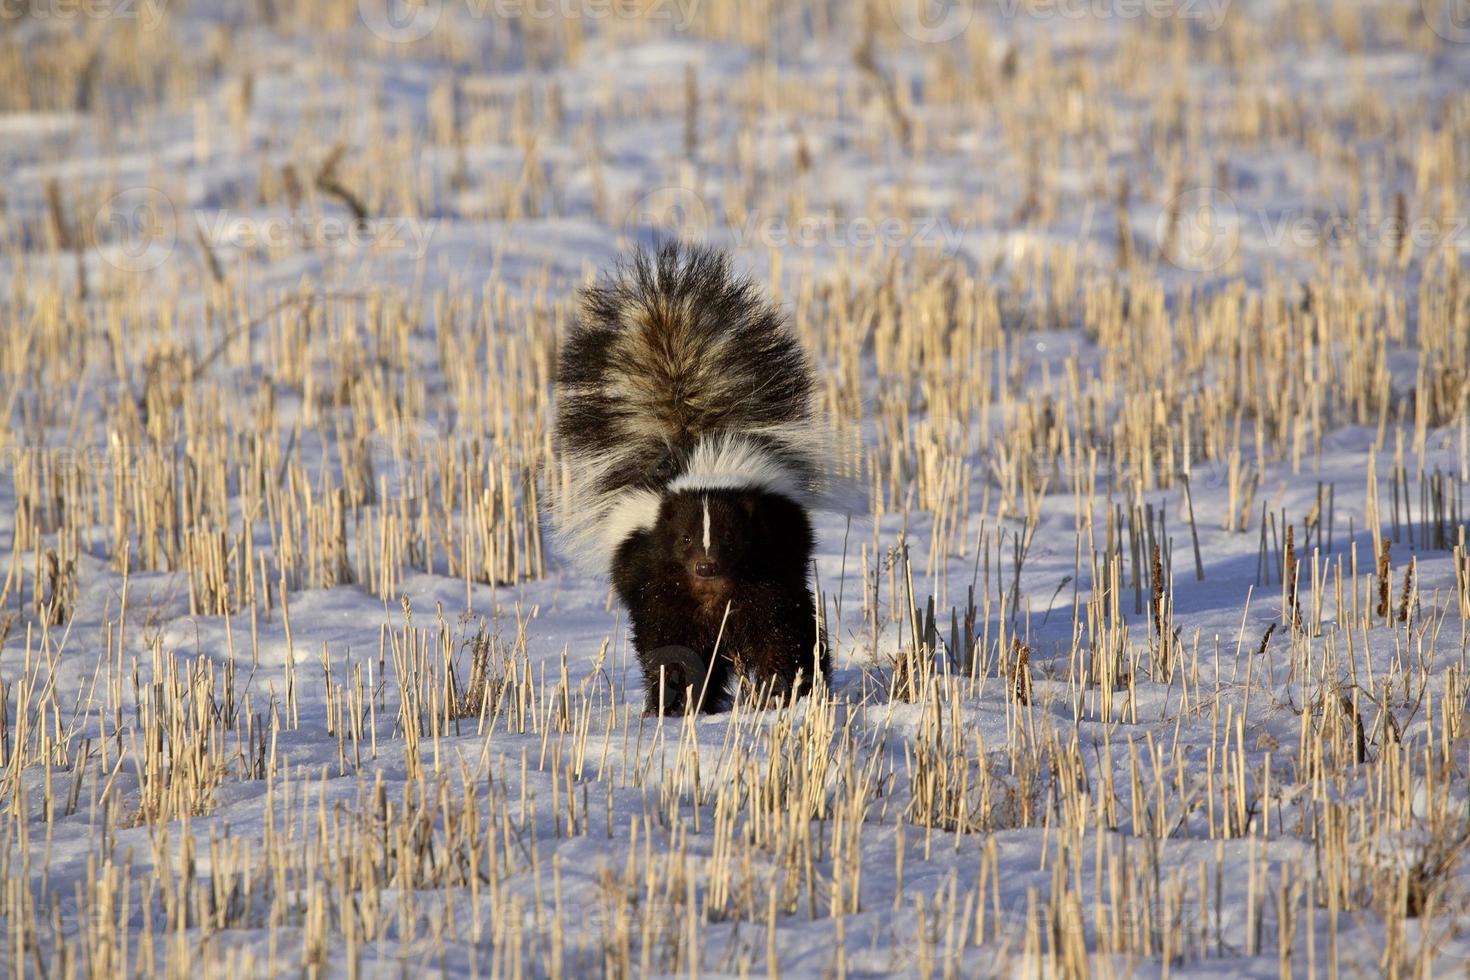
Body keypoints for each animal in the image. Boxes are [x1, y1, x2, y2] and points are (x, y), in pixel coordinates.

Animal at [552, 238, 834, 714]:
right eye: (684, 538)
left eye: (731, 537)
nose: (706, 565)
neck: (714, 589)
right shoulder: (658, 582)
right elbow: (672, 648)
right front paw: (676, 703)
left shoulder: (768, 574)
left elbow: (780, 636)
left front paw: (785, 691)